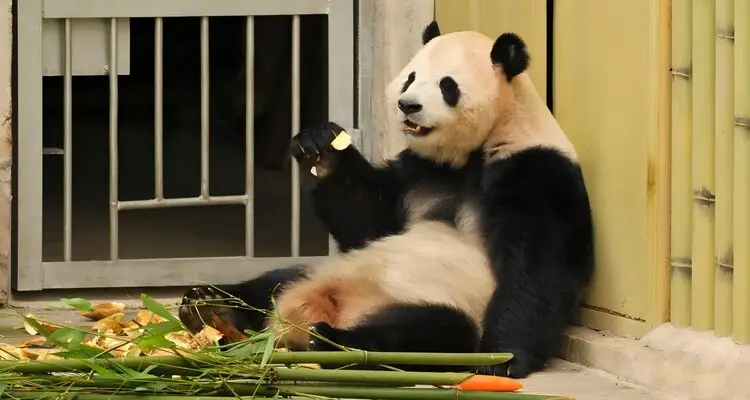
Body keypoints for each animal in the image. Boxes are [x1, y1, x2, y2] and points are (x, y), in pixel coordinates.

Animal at [178, 21, 594, 379]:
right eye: (411, 77)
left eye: (447, 85)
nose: (407, 104)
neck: (472, 153)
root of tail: (305, 315)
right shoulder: (420, 171)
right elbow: (371, 220)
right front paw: (322, 149)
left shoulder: (535, 170)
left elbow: (539, 266)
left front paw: (503, 358)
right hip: (322, 271)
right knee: (271, 283)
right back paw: (210, 307)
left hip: (439, 304)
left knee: (422, 335)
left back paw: (332, 342)